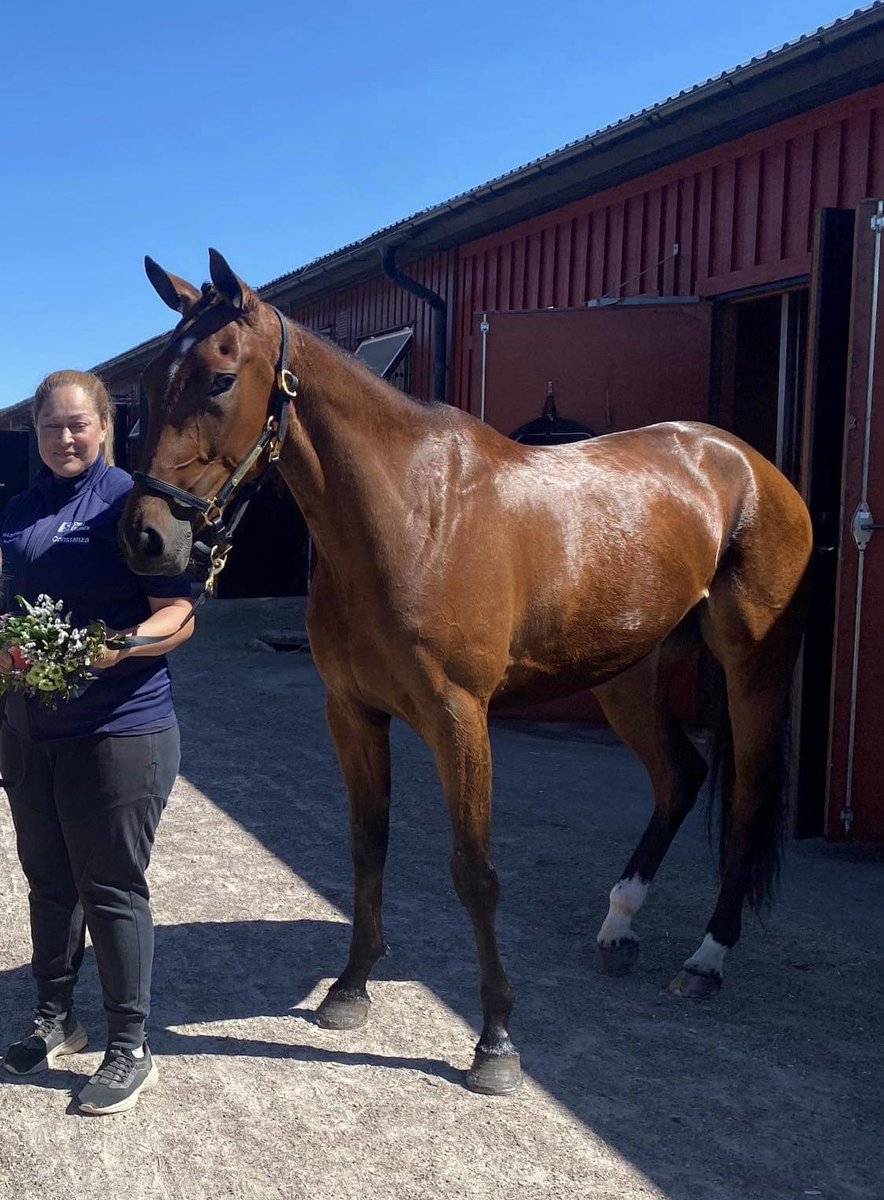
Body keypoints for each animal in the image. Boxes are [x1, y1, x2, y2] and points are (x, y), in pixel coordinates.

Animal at [120, 250, 810, 1099]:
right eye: (150, 379)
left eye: (219, 378)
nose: (147, 538)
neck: (412, 515)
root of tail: (744, 463)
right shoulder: (352, 712)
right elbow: (368, 845)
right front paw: (350, 989)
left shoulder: (460, 718)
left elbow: (474, 872)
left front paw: (496, 1042)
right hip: (626, 675)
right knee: (681, 775)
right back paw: (619, 926)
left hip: (753, 669)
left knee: (744, 800)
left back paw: (708, 957)